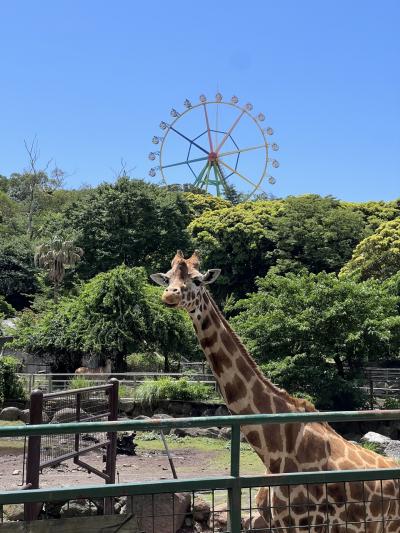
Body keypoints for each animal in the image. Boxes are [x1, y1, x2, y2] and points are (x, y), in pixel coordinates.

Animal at [151, 250, 400, 532]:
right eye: (168, 277)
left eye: (197, 280)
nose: (169, 295)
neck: (274, 451)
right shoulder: (274, 522)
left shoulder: (307, 525)